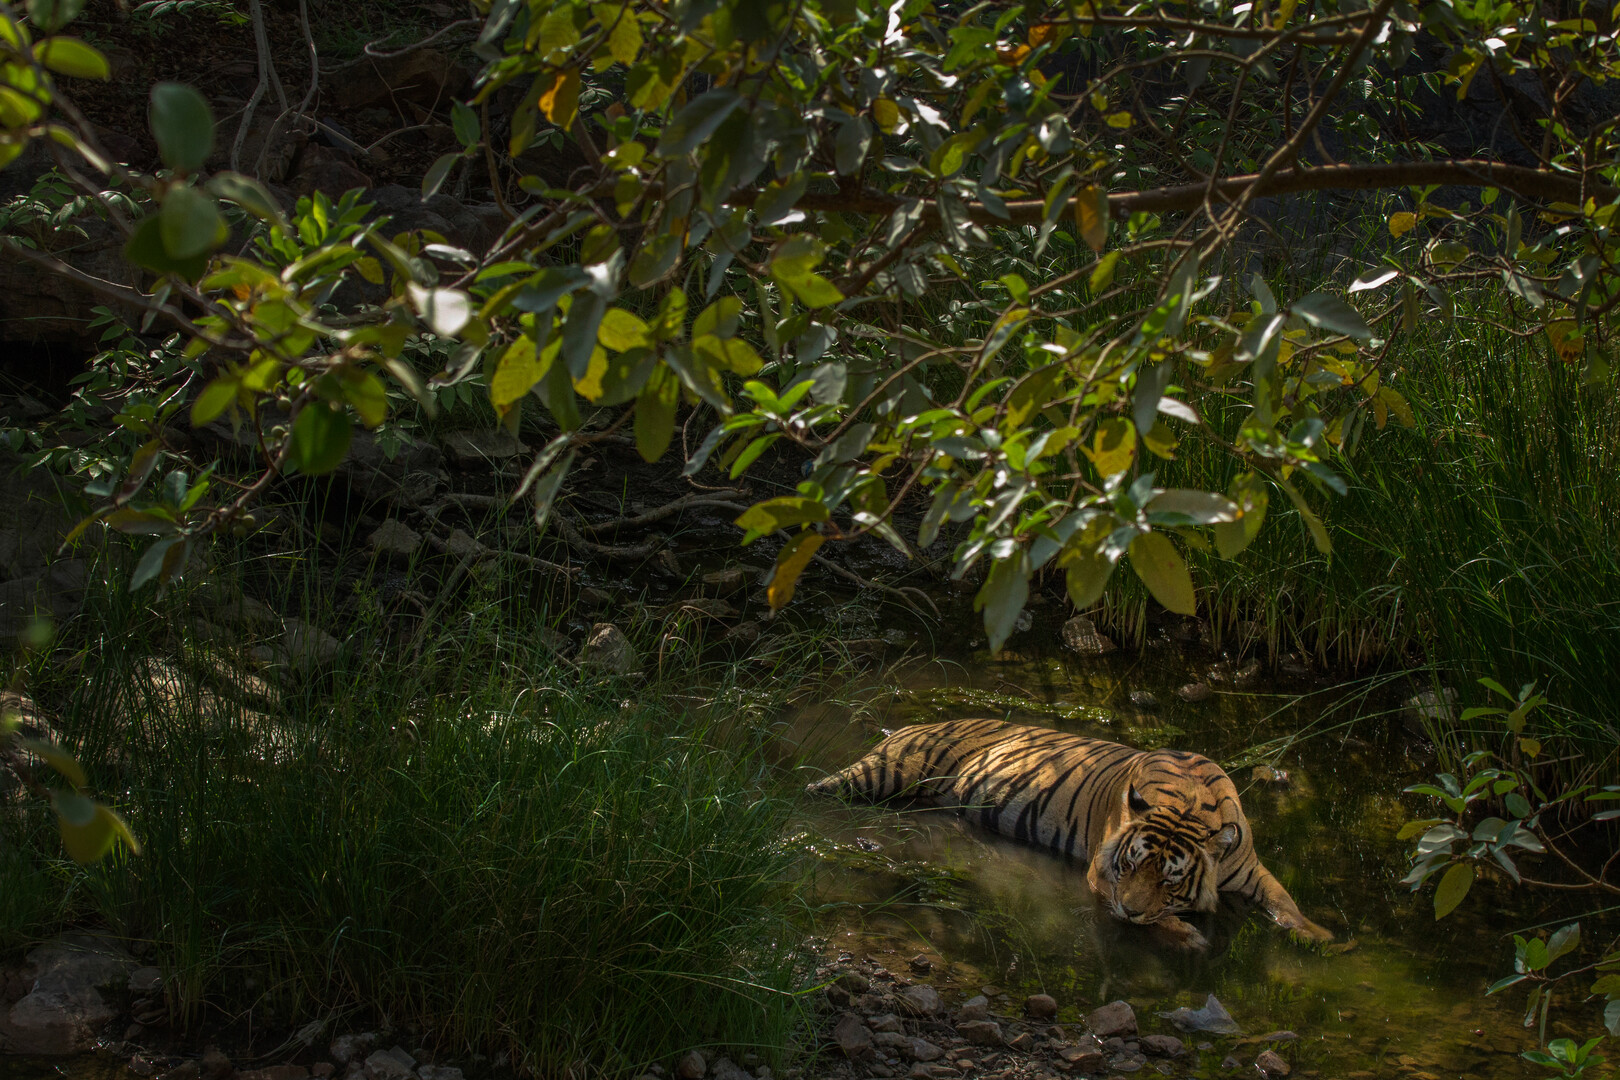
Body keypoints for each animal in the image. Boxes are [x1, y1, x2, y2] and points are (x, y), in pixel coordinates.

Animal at [807, 717, 1332, 950]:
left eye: (1170, 879)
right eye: (1130, 865)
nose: (1128, 910)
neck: (1187, 803)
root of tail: (910, 724)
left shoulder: (1250, 869)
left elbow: (1284, 900)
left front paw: (1319, 936)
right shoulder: (1102, 876)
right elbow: (1155, 920)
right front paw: (1187, 935)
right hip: (885, 773)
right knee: (815, 788)